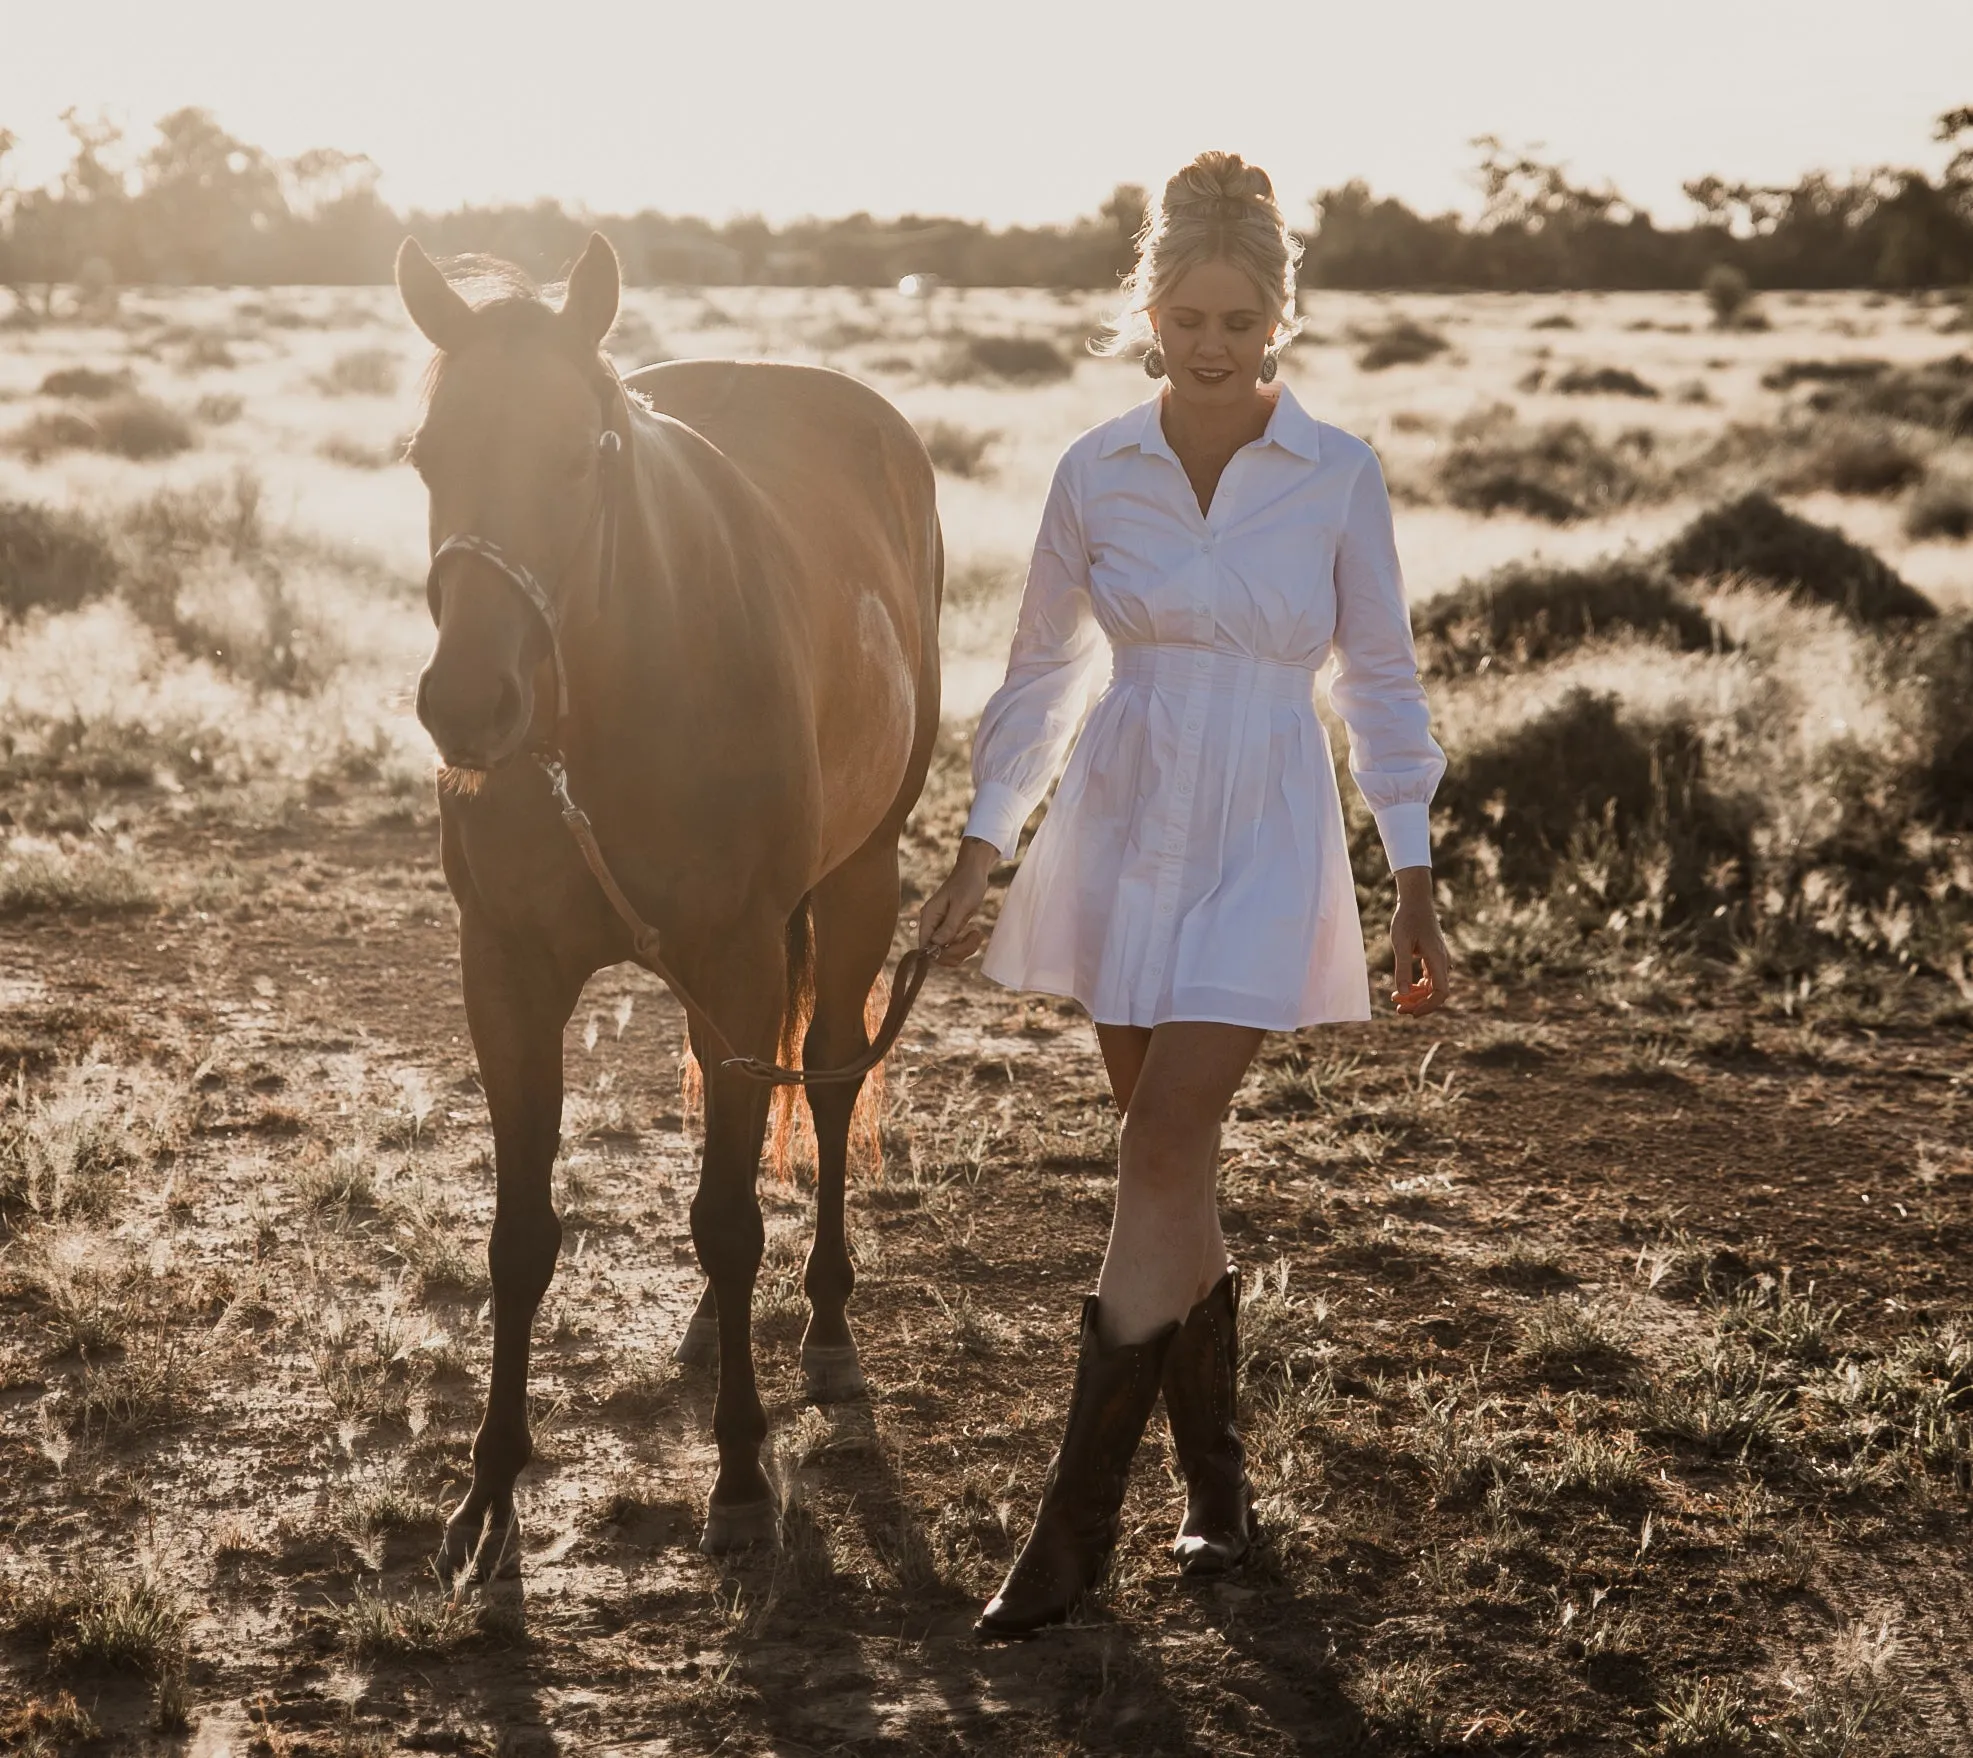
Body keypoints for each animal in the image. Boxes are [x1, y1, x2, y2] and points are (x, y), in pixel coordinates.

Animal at [396, 229, 943, 1570]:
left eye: (581, 452)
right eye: (430, 456)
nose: (468, 704)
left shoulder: (738, 959)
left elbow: (733, 1219)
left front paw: (741, 1480)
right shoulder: (508, 974)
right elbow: (522, 1235)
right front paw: (488, 1495)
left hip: (856, 884)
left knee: (832, 1079)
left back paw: (827, 1331)